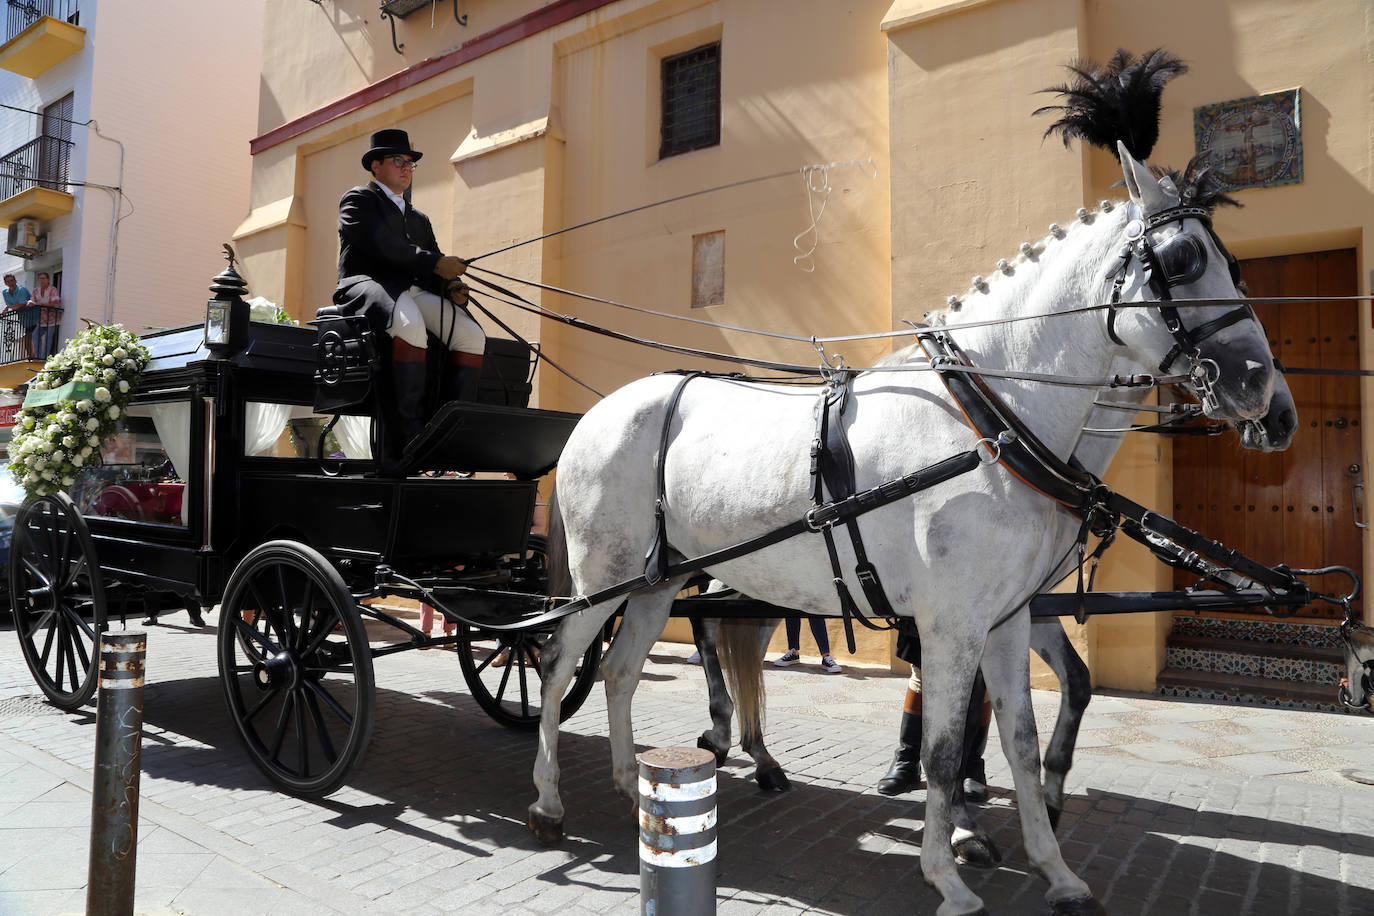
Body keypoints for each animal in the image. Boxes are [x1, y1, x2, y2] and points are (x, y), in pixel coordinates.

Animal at [530, 144, 1280, 916]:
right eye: (1185, 259)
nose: (1263, 390)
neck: (987, 422)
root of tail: (599, 412)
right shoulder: (951, 624)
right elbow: (943, 753)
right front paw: (947, 874)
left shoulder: (1007, 619)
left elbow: (1019, 737)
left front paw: (1055, 869)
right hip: (602, 575)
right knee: (558, 665)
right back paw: (549, 802)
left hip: (657, 581)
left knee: (620, 672)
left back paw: (632, 785)